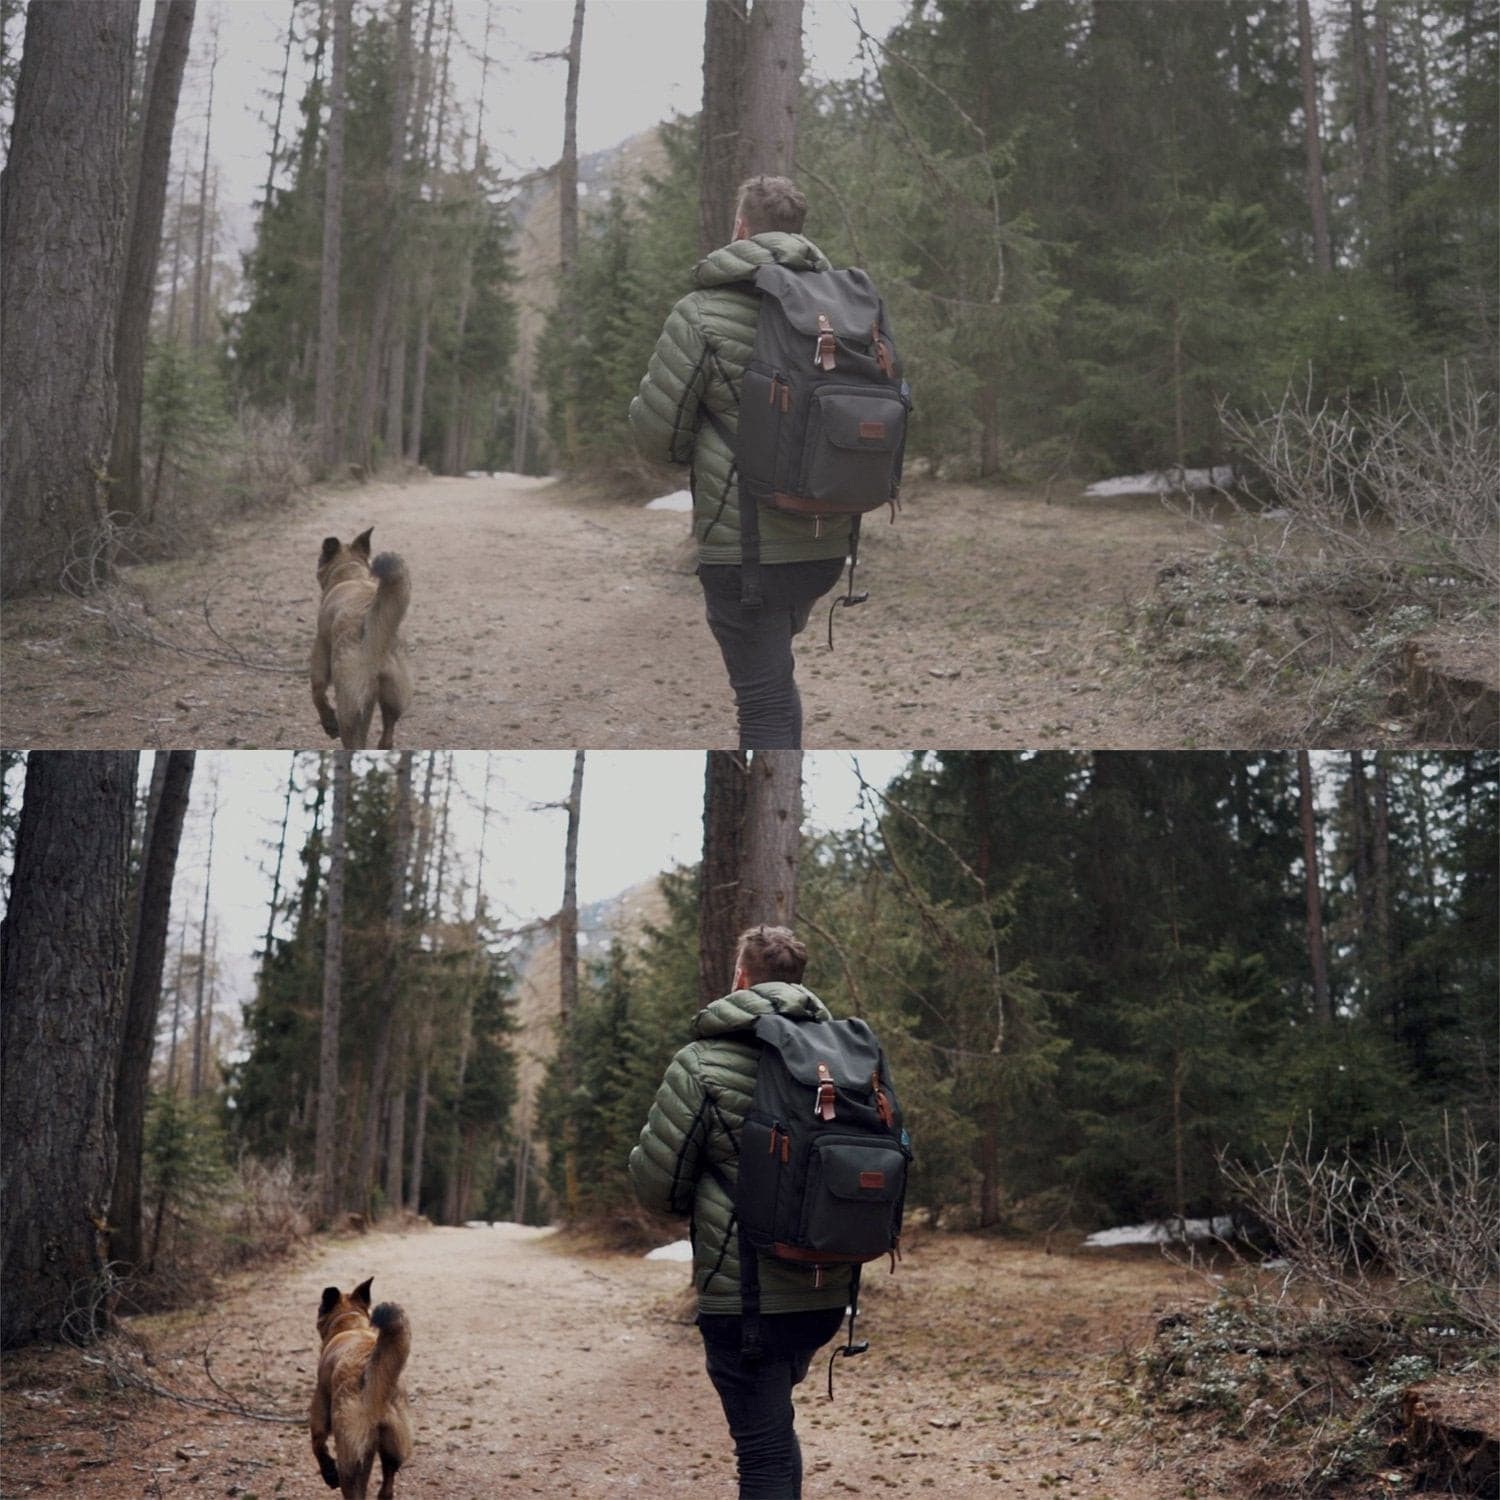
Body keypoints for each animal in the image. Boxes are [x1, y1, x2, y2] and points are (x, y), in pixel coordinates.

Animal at [307, 1278, 411, 1500]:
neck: (350, 1324)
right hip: (389, 1449)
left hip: (351, 1459)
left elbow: (318, 1447)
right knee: (387, 1487)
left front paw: (329, 1474)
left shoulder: (319, 1412)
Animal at [309, 528, 411, 750]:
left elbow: (318, 694)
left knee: (355, 741)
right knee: (387, 733)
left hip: (350, 706)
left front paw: (328, 723)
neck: (349, 573)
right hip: (391, 698)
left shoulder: (321, 652)